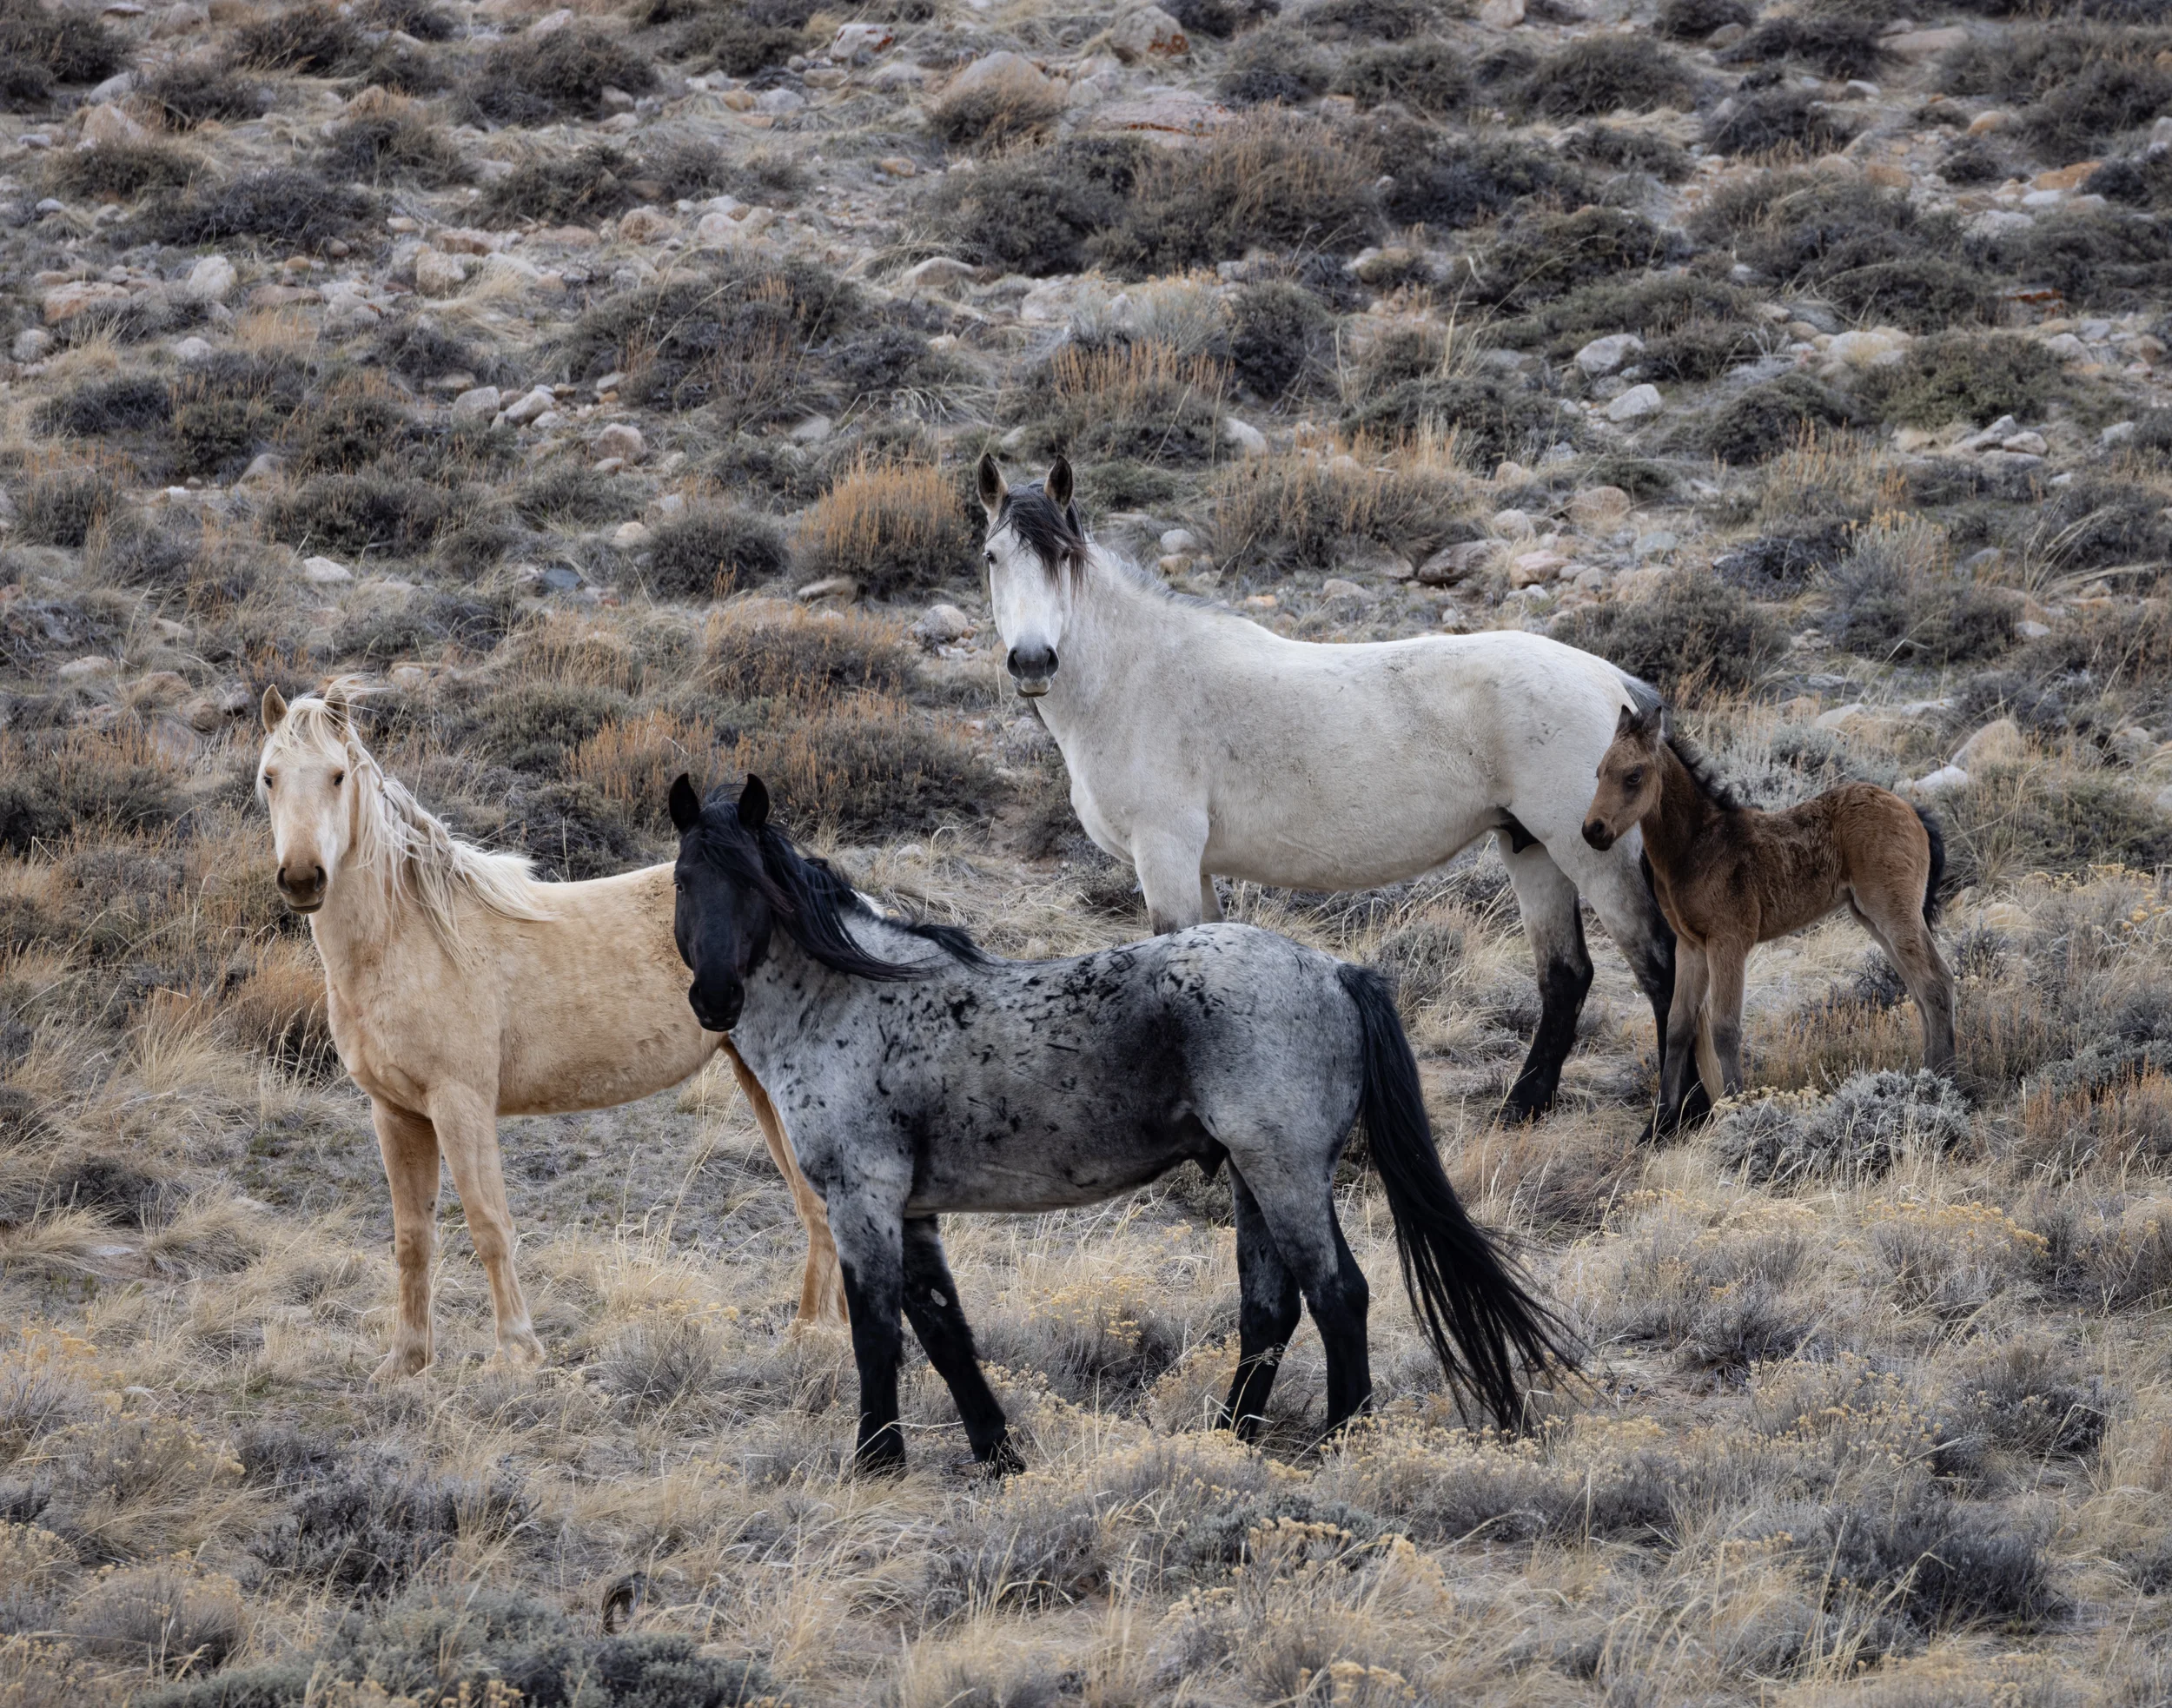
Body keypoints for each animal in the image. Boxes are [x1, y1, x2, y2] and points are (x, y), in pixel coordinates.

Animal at [255, 684, 845, 1380]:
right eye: (269, 777)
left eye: (337, 776)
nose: (302, 879)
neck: (407, 938)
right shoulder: (396, 1113)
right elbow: (412, 1239)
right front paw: (406, 1362)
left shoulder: (461, 1104)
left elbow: (488, 1226)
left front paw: (516, 1352)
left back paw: (814, 1336)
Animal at [668, 771, 1570, 1473]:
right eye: (683, 882)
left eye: (753, 885)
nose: (713, 998)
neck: (854, 998)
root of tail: (1335, 971)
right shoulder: (911, 1211)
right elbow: (944, 1332)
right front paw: (1000, 1456)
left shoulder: (863, 1203)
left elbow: (878, 1334)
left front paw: (876, 1462)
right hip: (1253, 1176)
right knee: (1269, 1309)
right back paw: (1227, 1440)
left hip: (1281, 1170)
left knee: (1336, 1294)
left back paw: (1343, 1439)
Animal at [975, 453, 1687, 1126]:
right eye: (992, 556)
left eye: (1062, 557)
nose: (1034, 661)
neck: (1138, 677)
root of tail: (1617, 687)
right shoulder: (1194, 866)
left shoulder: (1165, 854)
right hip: (1531, 847)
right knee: (1565, 976)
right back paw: (1522, 1108)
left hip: (1588, 849)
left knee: (1660, 965)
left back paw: (1670, 1121)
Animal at [1580, 702, 1957, 1131]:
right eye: (1599, 773)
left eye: (1634, 775)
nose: (1593, 830)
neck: (1696, 847)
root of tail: (1912, 810)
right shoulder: (1691, 946)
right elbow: (1678, 1028)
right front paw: (1657, 1127)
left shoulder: (1728, 941)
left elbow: (1725, 1028)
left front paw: (1737, 1115)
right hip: (1873, 917)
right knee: (1918, 986)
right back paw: (1925, 1077)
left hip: (1894, 910)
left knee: (1935, 981)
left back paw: (1944, 1085)